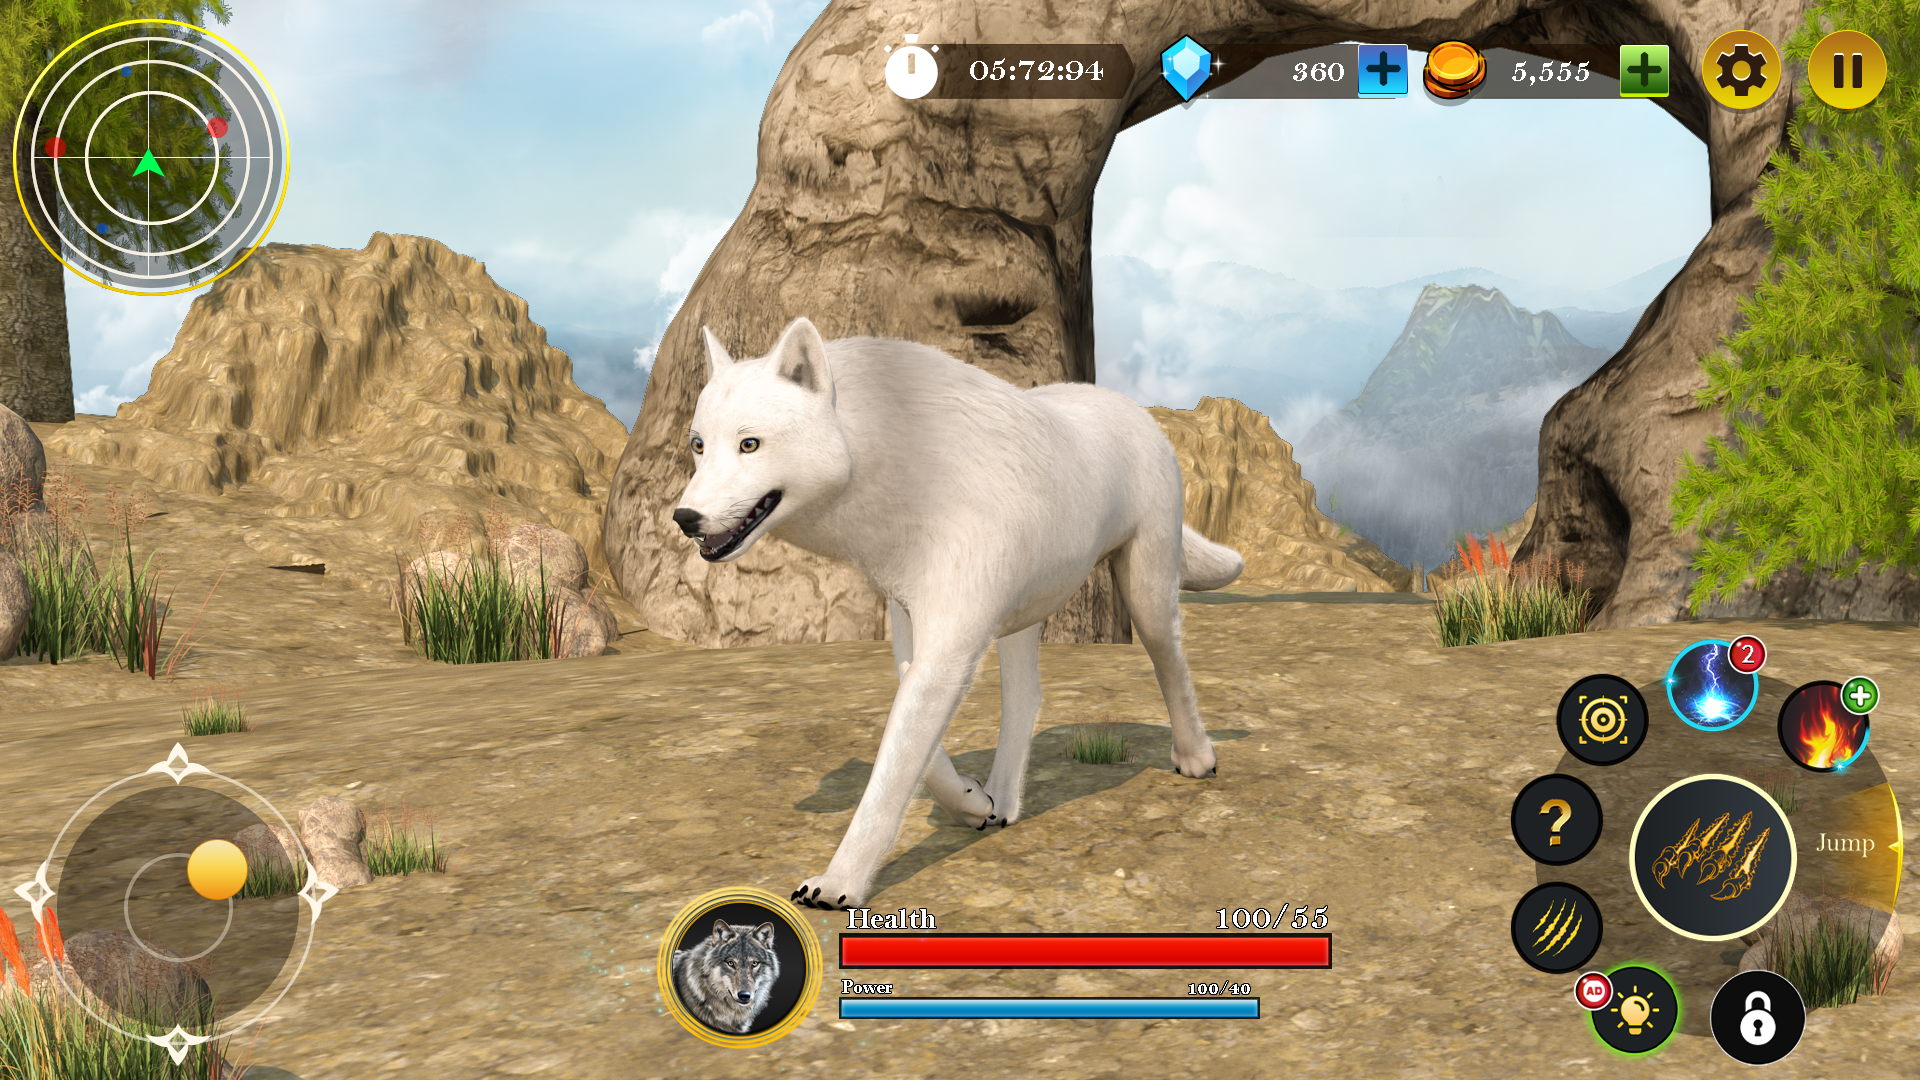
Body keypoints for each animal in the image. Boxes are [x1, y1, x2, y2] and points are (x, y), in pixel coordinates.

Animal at [672, 318, 1243, 910]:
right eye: (698, 444)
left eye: (750, 443)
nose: (684, 518)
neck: (898, 470)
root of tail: (1127, 404)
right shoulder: (915, 630)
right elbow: (920, 755)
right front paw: (973, 803)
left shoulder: (948, 651)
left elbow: (892, 774)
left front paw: (839, 882)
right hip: (1023, 617)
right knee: (1026, 699)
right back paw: (1006, 802)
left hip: (1145, 592)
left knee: (1170, 660)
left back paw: (1196, 756)